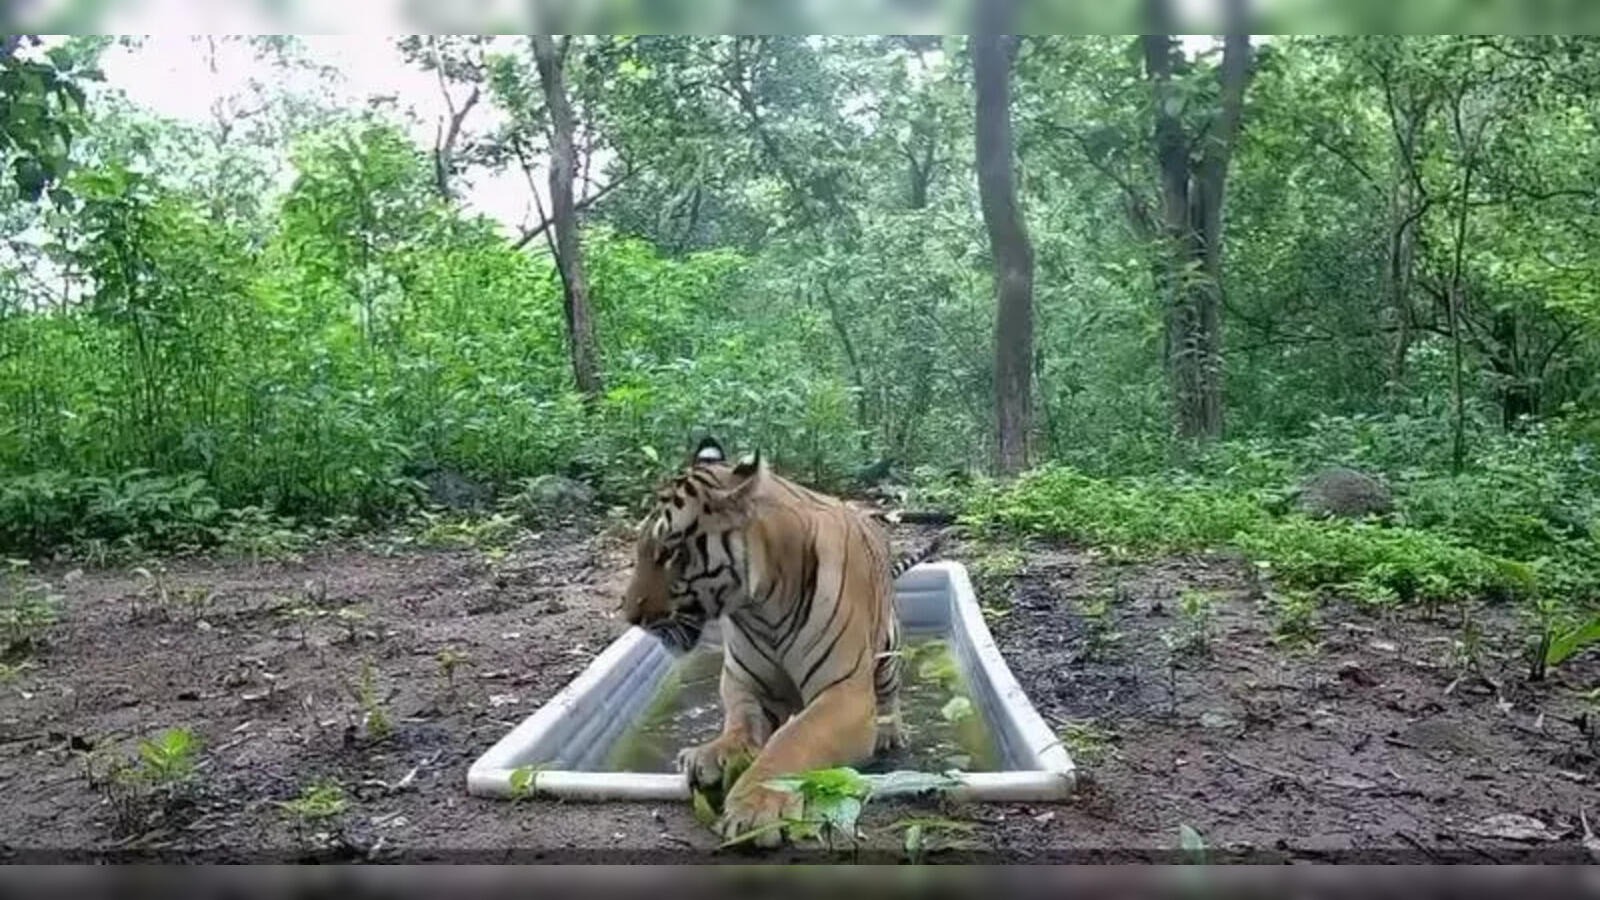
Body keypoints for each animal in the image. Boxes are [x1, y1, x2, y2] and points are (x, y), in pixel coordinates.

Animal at [619, 437, 944, 846]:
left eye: (670, 552)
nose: (629, 615)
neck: (761, 606)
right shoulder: (744, 681)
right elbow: (740, 722)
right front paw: (711, 754)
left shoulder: (844, 693)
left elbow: (793, 739)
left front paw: (756, 807)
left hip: (887, 651)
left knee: (889, 697)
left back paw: (890, 733)